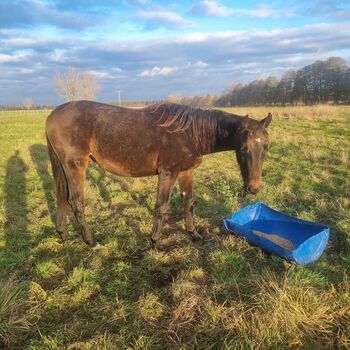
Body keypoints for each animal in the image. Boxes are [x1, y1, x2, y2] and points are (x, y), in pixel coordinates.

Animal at [45, 100, 272, 249]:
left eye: (266, 146)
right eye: (243, 148)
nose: (254, 188)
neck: (190, 133)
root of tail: (51, 116)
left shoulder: (186, 172)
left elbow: (188, 203)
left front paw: (194, 234)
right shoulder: (168, 173)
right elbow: (161, 206)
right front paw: (154, 242)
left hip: (64, 167)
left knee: (61, 197)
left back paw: (62, 235)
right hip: (76, 166)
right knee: (75, 202)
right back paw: (92, 243)